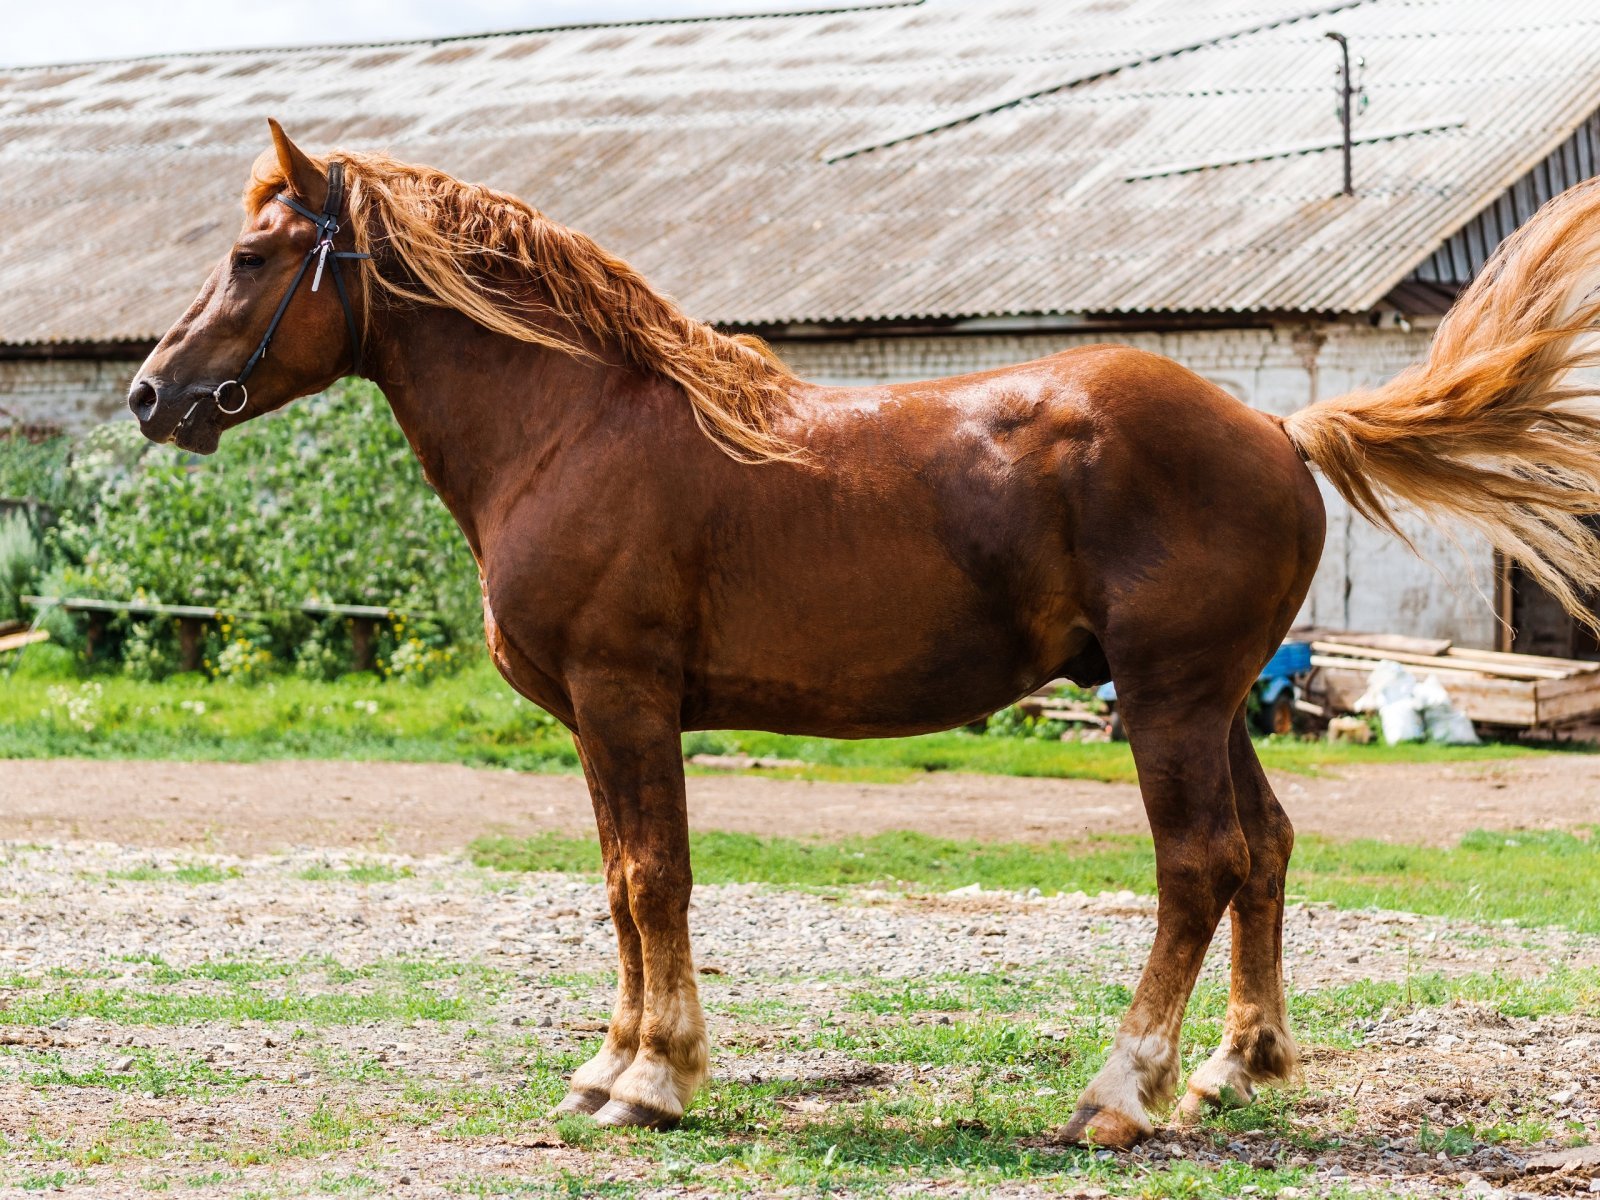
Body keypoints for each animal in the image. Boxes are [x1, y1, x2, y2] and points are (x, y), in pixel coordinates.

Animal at [131, 122, 1600, 1145]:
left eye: (252, 259)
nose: (151, 395)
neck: (578, 422)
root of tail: (1273, 428)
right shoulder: (604, 723)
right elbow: (616, 882)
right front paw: (610, 1066)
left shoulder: (625, 698)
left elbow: (650, 881)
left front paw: (653, 1079)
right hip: (1210, 699)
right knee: (1268, 852)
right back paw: (1234, 1071)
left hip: (1169, 702)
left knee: (1201, 866)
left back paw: (1117, 1096)